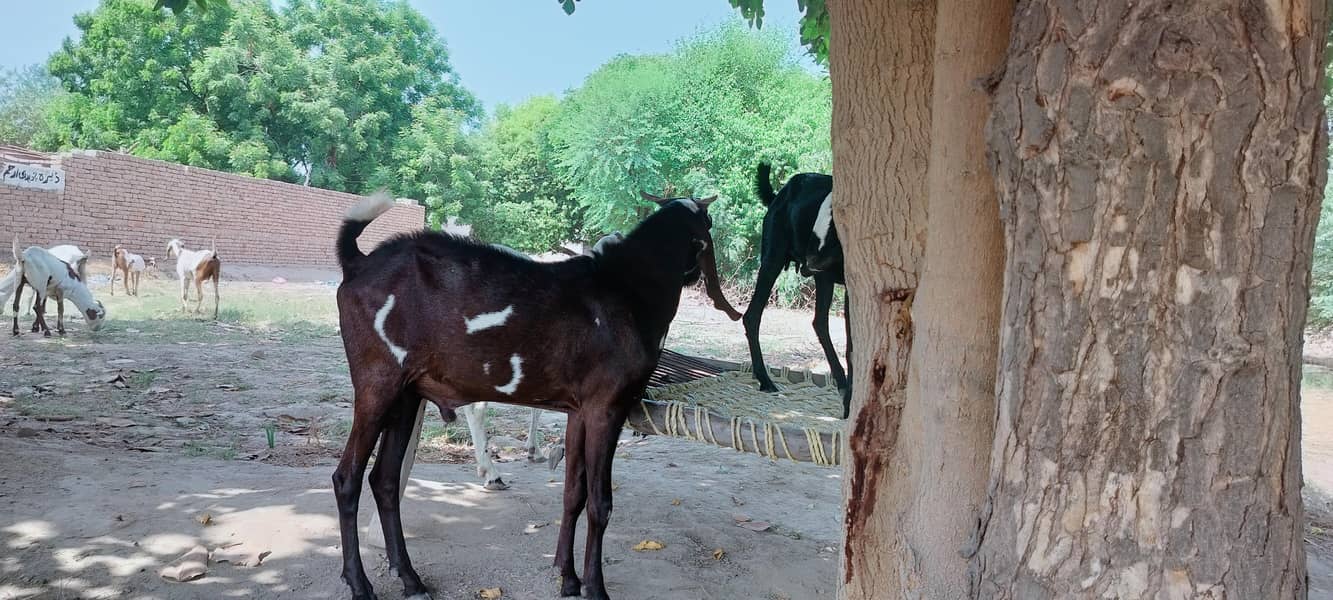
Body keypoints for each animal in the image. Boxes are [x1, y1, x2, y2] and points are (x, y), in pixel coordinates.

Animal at [332, 190, 730, 600]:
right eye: (708, 225)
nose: (697, 275)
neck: (628, 288)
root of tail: (358, 263)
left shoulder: (579, 411)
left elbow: (574, 493)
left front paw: (568, 579)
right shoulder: (607, 408)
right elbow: (599, 502)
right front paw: (595, 588)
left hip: (407, 394)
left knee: (384, 480)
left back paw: (411, 579)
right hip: (377, 384)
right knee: (348, 479)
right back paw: (359, 583)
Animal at [744, 163, 852, 418]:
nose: (809, 262)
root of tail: (779, 195)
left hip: (823, 279)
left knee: (819, 322)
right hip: (773, 260)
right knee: (752, 315)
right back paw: (765, 379)